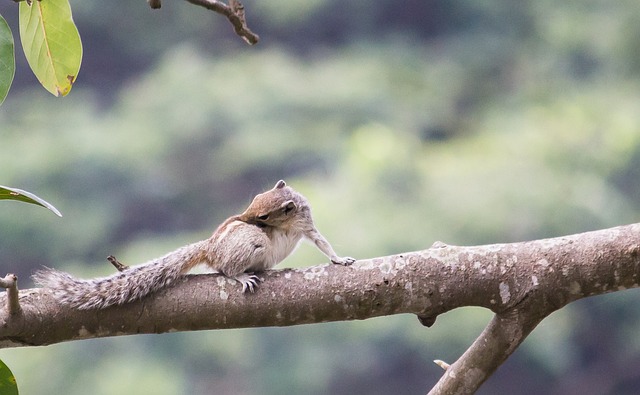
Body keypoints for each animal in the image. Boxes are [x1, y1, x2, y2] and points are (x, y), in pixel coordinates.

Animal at [32, 181, 356, 310]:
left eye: (264, 214)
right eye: (254, 199)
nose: (244, 217)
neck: (288, 220)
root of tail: (209, 249)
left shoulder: (307, 225)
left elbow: (322, 242)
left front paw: (340, 260)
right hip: (251, 243)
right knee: (225, 269)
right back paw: (240, 275)